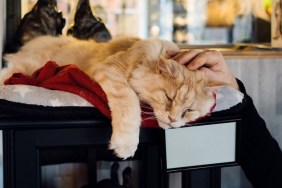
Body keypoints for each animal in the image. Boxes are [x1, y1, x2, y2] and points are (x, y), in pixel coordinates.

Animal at [1, 35, 216, 159]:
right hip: (27, 66)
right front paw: (126, 145)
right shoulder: (111, 71)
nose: (173, 120)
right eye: (169, 98)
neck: (143, 60)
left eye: (188, 111)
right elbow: (130, 105)